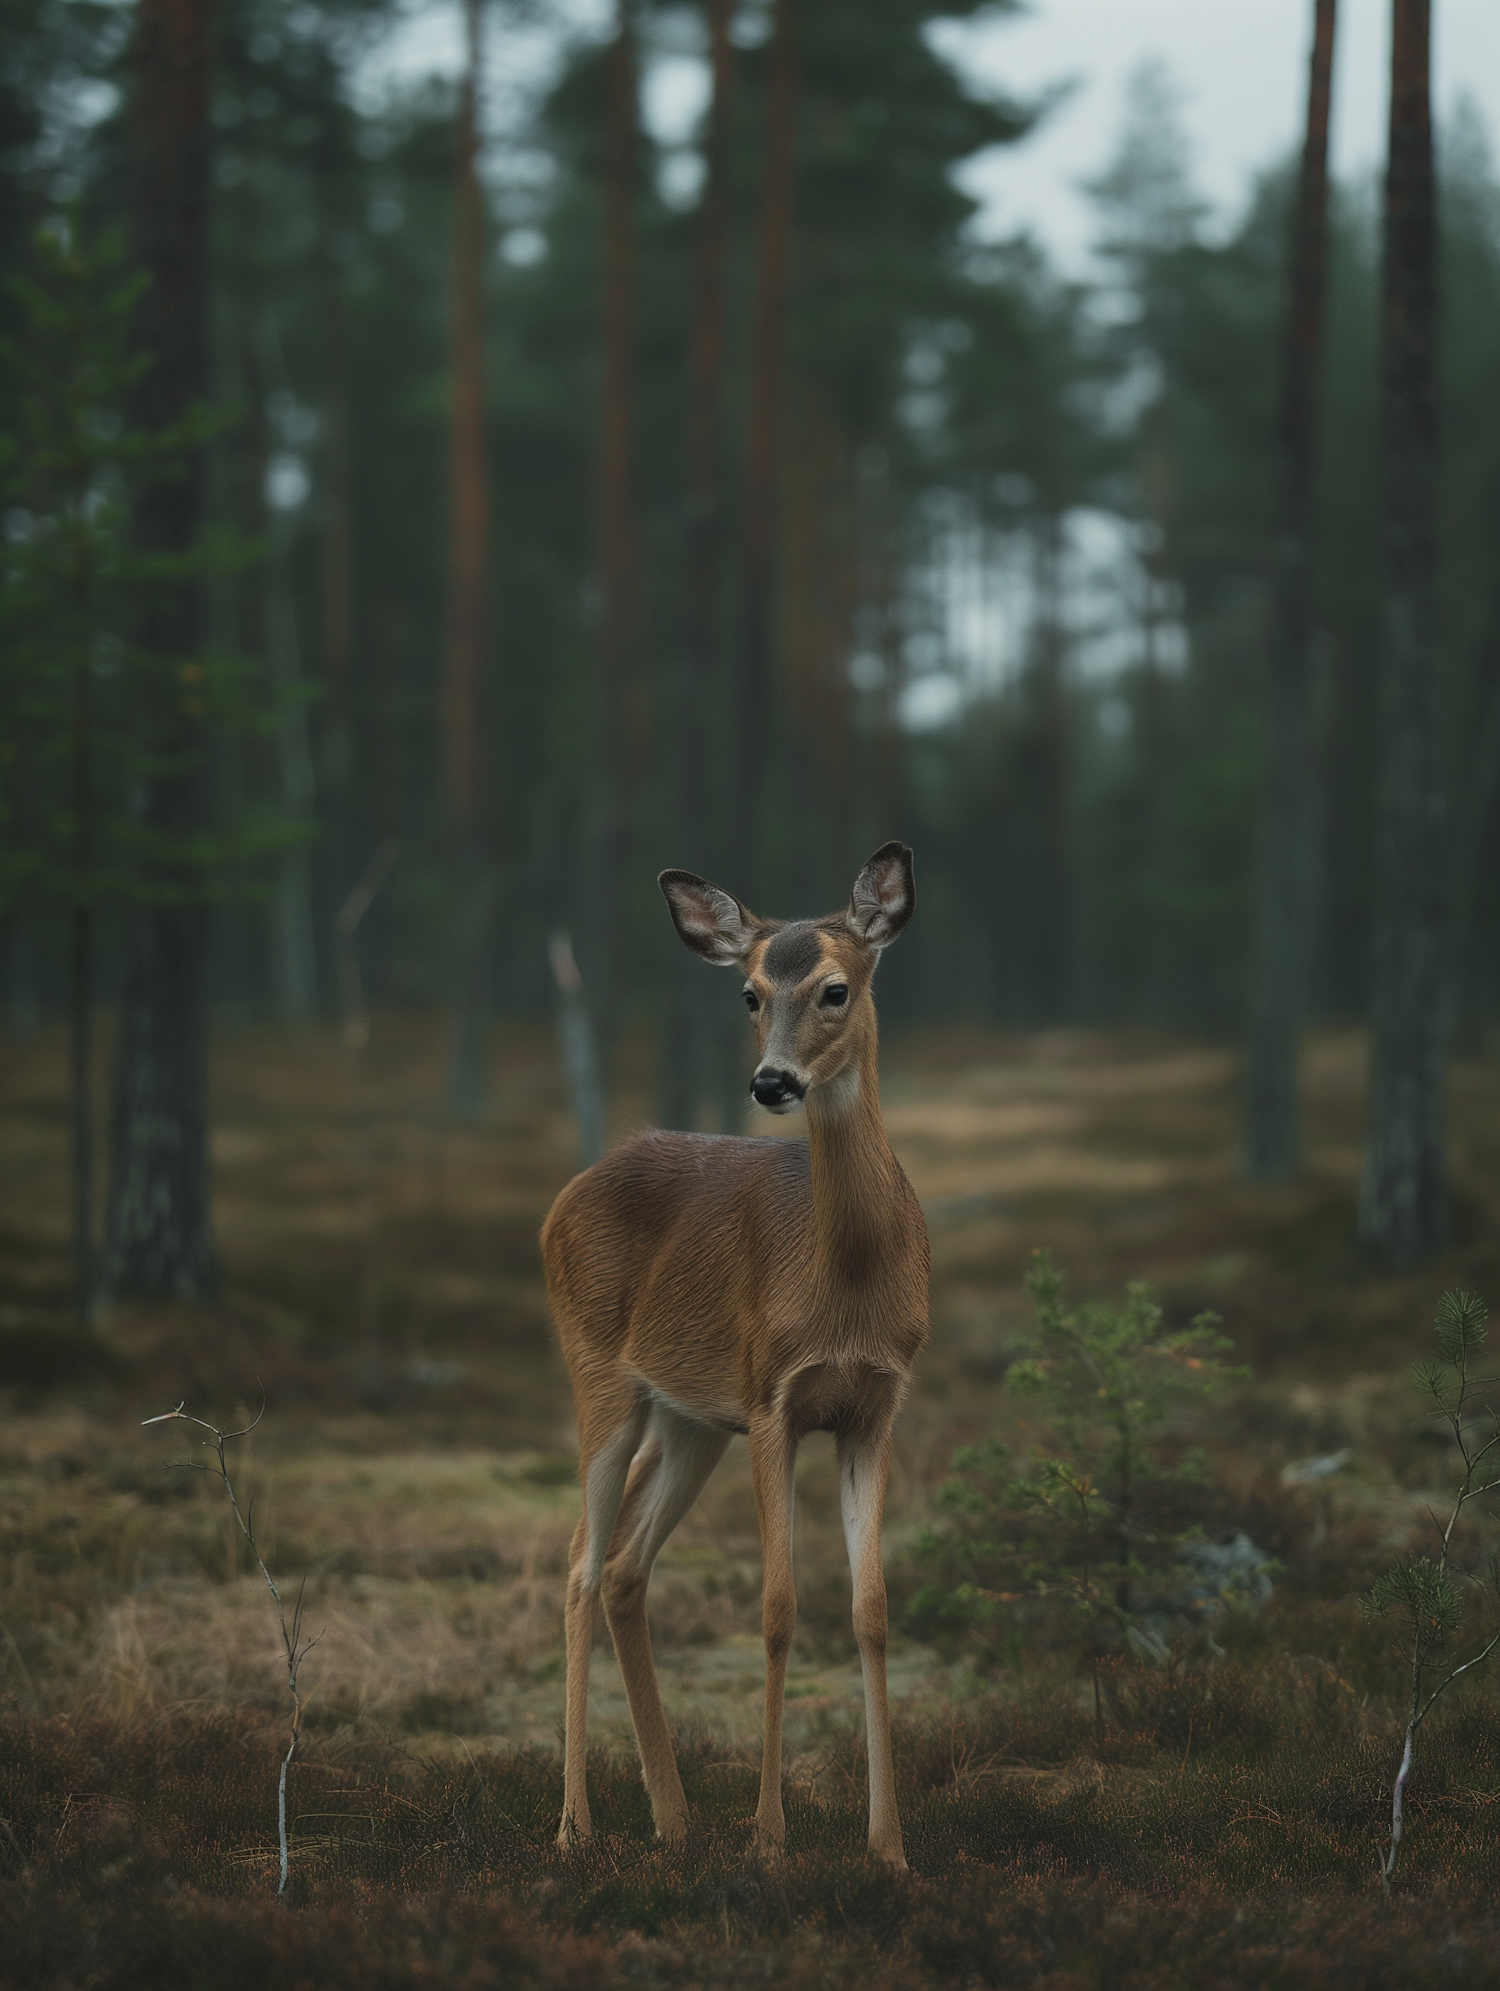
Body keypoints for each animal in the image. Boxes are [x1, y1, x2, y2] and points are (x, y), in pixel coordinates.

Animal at [545, 840, 924, 1863]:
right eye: (749, 992)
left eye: (835, 988)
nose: (771, 1082)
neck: (848, 1285)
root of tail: (566, 1193)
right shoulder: (772, 1398)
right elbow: (779, 1607)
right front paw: (768, 1837)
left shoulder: (877, 1404)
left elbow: (872, 1610)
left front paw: (889, 1845)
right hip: (598, 1373)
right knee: (580, 1564)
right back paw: (576, 1827)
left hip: (688, 1417)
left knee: (625, 1566)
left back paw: (675, 1820)